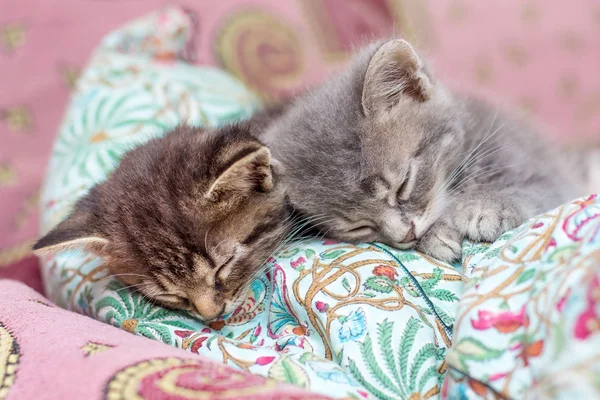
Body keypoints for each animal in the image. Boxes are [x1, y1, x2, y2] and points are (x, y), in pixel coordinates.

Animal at [262, 38, 592, 262]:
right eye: (359, 227)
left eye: (403, 184)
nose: (406, 235)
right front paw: (436, 236)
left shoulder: (546, 169)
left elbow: (534, 189)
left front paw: (487, 207)